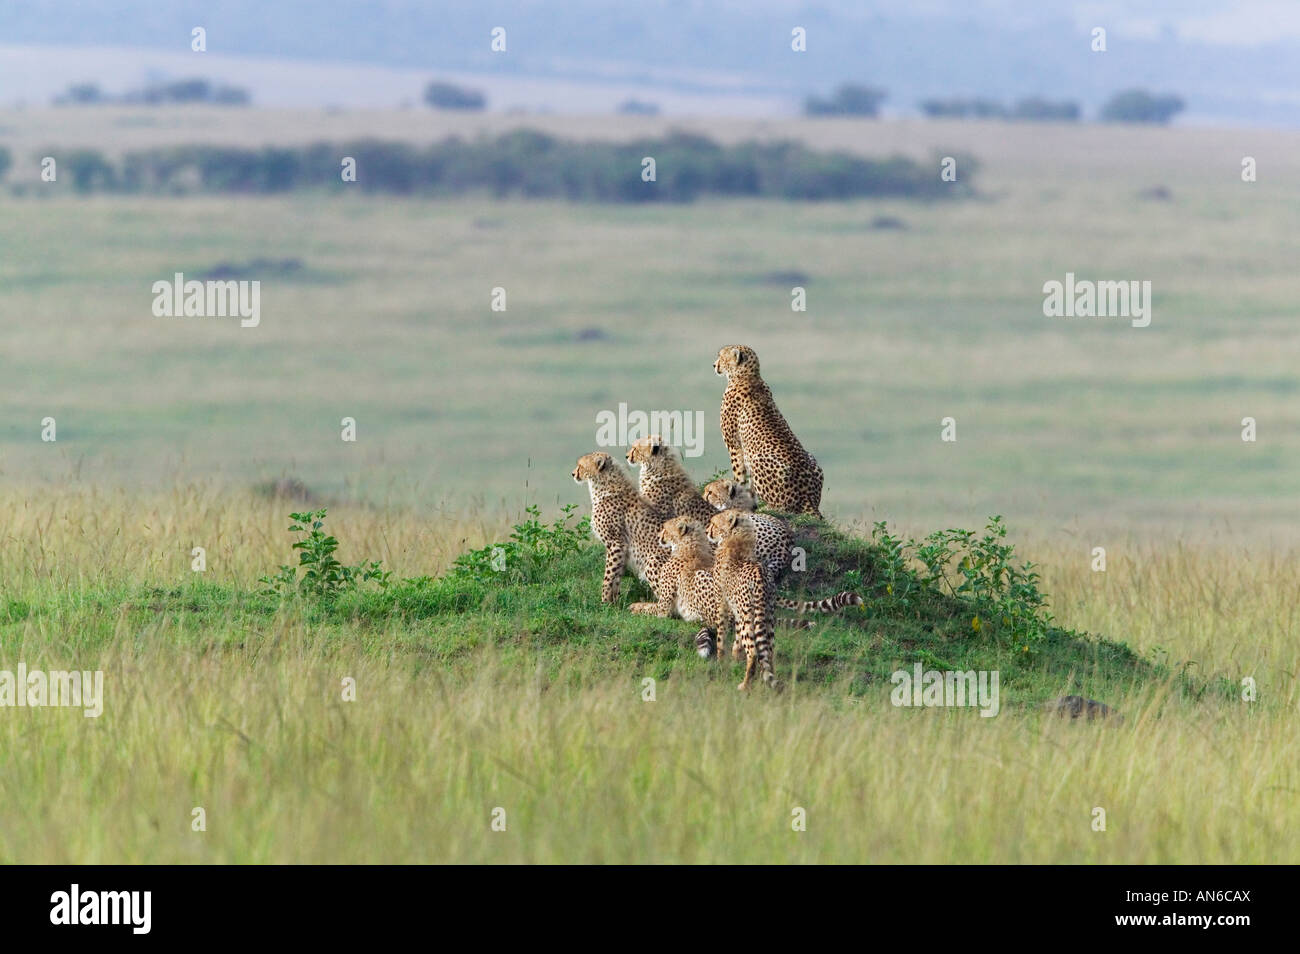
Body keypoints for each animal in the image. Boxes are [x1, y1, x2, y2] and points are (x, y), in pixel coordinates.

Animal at [569, 454, 670, 605]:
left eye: (581, 466)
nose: (573, 473)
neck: (603, 485)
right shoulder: (623, 549)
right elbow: (616, 576)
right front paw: (613, 603)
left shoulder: (616, 543)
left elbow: (608, 576)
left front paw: (603, 602)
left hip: (652, 560)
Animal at [707, 512, 774, 691]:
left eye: (713, 523)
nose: (707, 530)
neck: (734, 537)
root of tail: (760, 575)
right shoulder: (737, 609)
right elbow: (736, 635)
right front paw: (735, 656)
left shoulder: (722, 602)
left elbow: (721, 634)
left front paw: (721, 659)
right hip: (766, 617)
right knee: (768, 651)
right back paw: (767, 679)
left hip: (749, 617)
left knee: (754, 652)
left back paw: (745, 684)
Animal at [712, 348, 821, 519]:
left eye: (722, 357)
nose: (714, 365)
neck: (748, 376)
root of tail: (808, 498)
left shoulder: (734, 446)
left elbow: (739, 476)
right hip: (812, 459)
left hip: (758, 459)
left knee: (783, 508)